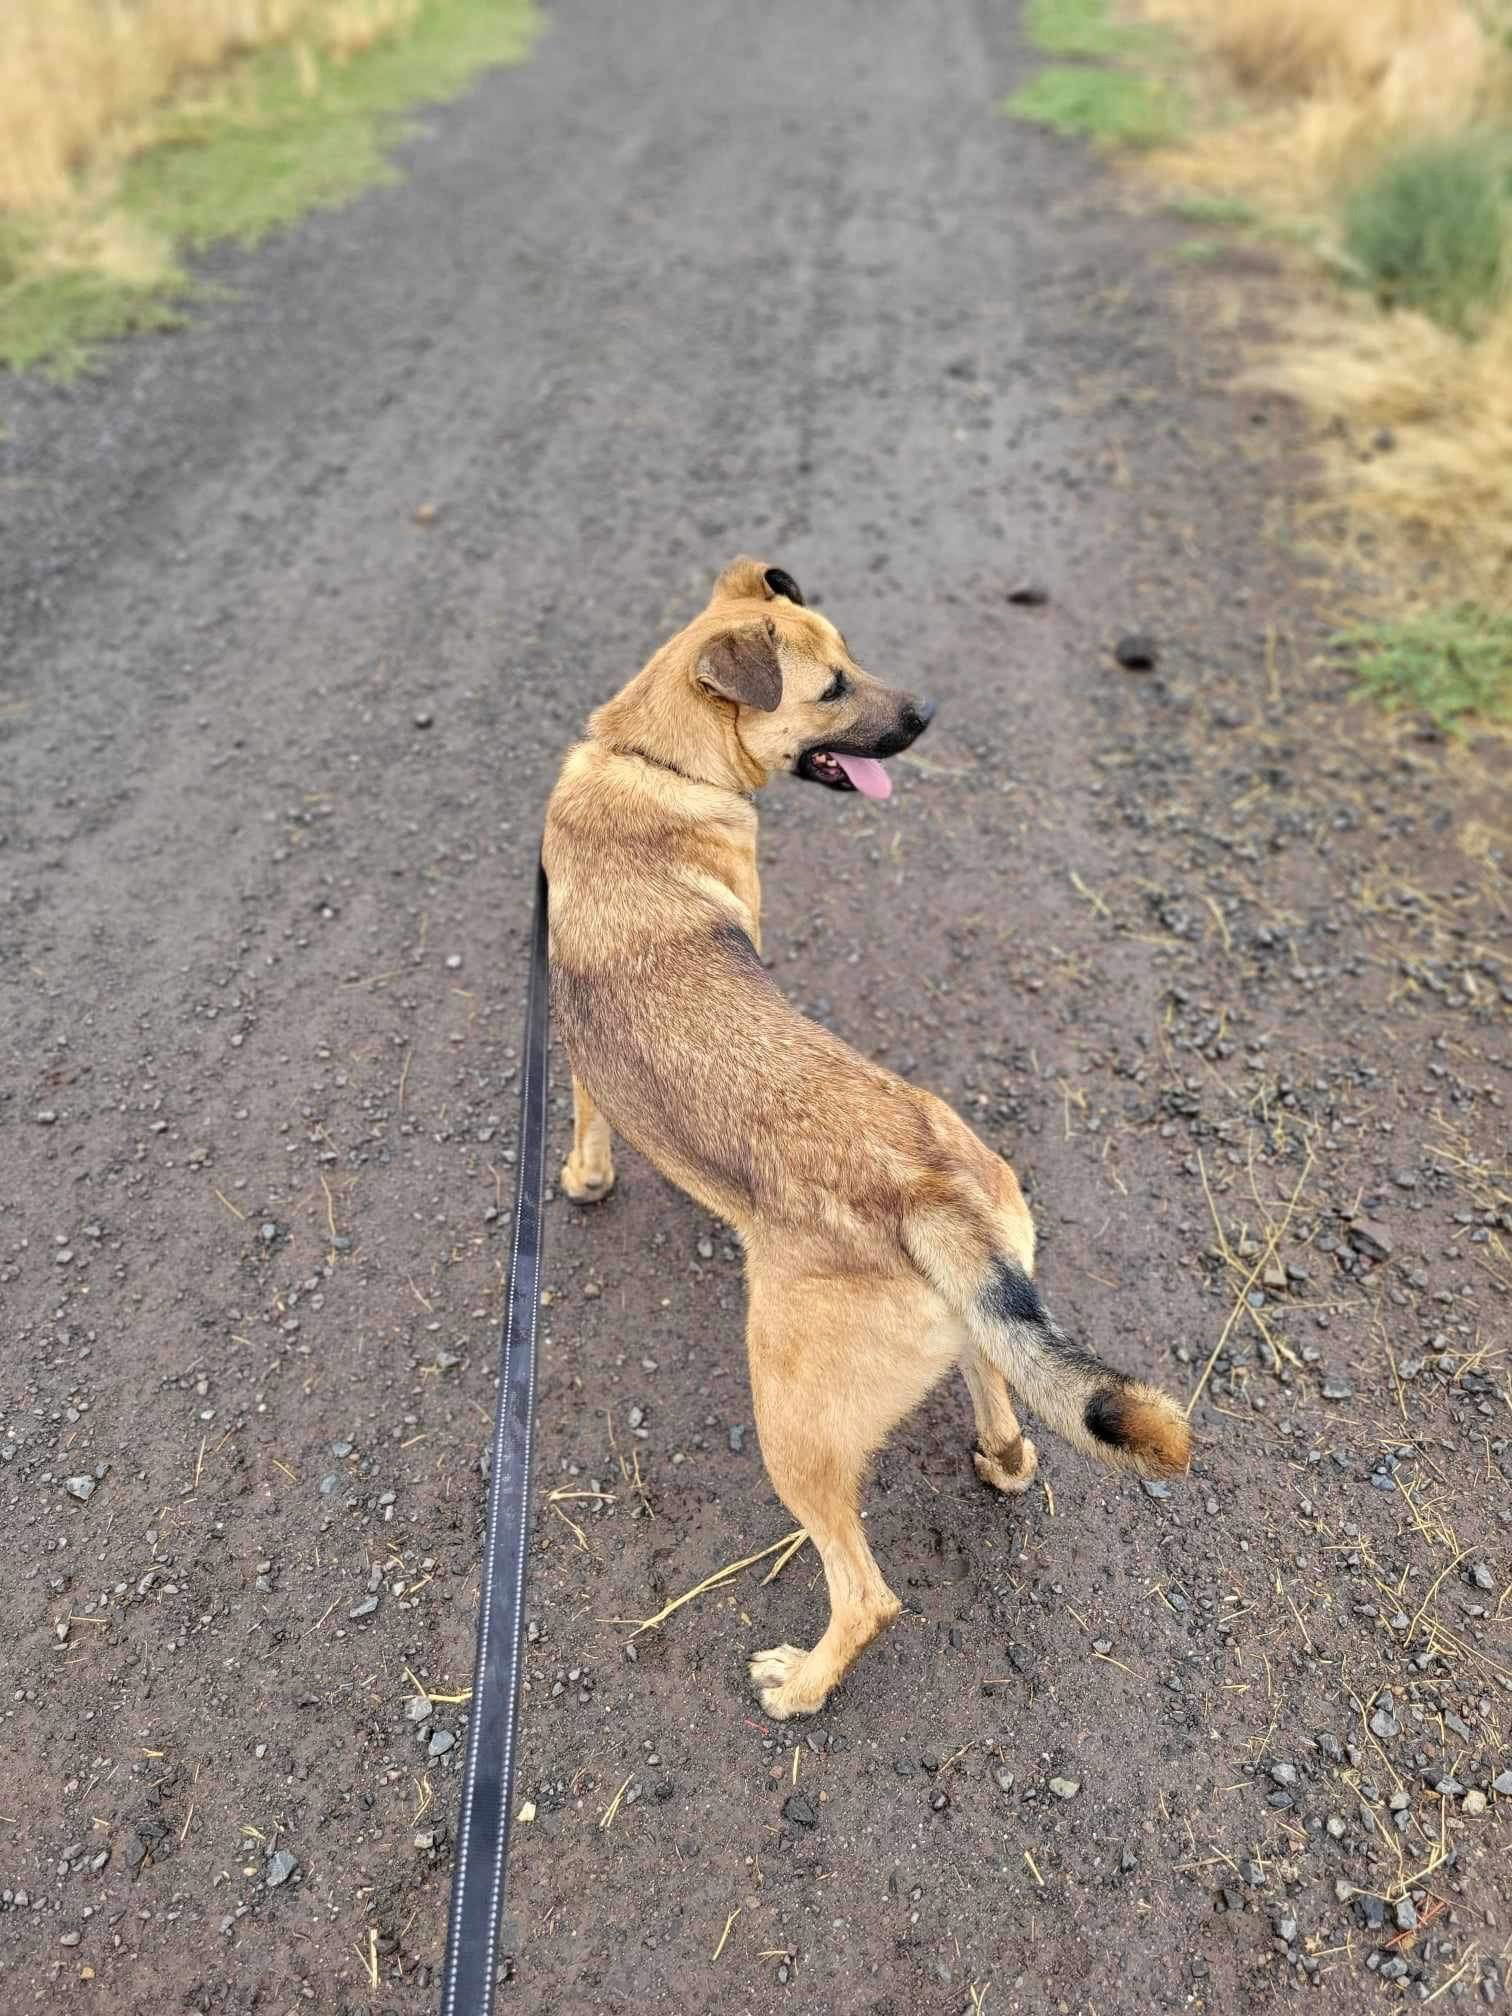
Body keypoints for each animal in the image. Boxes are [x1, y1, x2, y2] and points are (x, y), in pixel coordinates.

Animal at [544, 564, 1193, 1717]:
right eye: (833, 683)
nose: (928, 713)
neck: (651, 764)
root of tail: (932, 1189)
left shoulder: (575, 1051)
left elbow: (587, 1126)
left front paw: (584, 1182)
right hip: (978, 1324)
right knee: (1006, 1412)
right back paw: (999, 1458)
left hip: (791, 1428)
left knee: (865, 1594)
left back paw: (799, 1685)